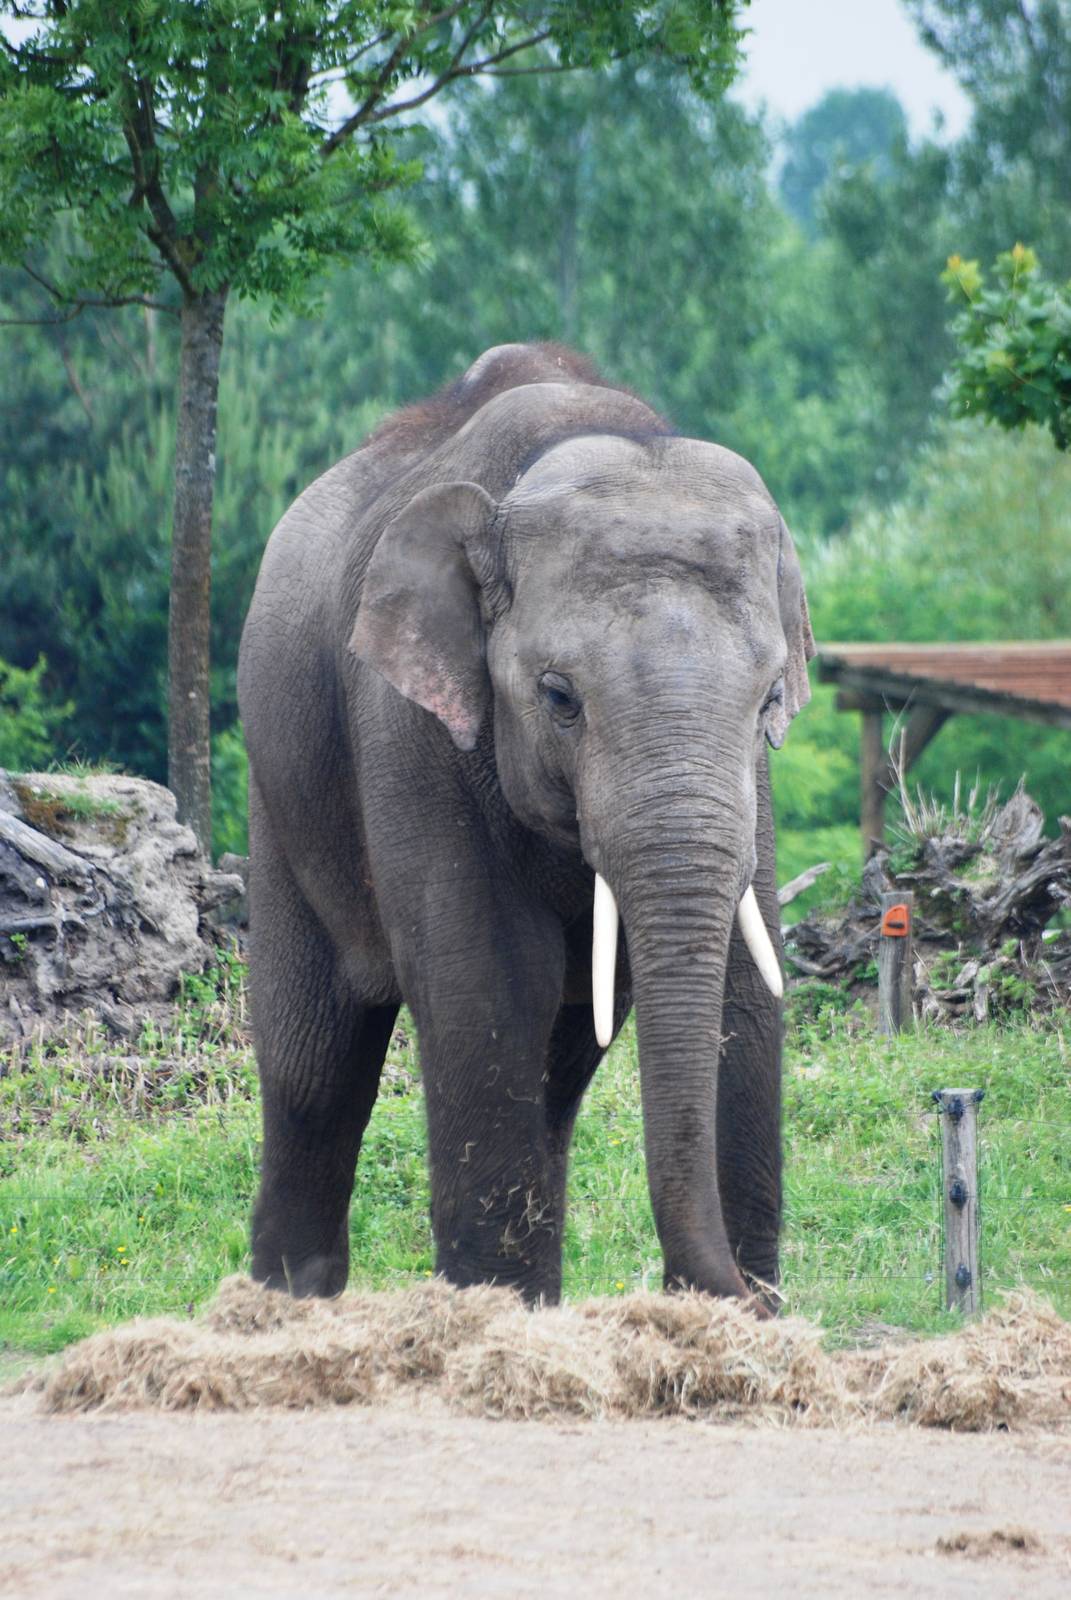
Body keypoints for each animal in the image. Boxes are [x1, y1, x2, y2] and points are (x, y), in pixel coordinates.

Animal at [237, 342, 814, 1310]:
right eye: (557, 697)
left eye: (771, 697)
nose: (732, 1288)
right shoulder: (407, 726)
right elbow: (491, 983)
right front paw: (489, 1317)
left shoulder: (755, 779)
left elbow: (746, 987)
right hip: (279, 791)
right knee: (314, 1065)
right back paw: (285, 1309)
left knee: (556, 1066)